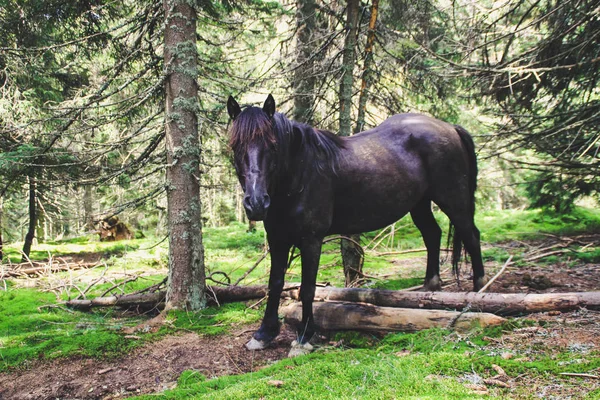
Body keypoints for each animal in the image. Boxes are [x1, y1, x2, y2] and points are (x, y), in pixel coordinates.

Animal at [227, 94, 486, 354]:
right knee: (433, 234)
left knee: (471, 235)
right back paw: (429, 288)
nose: (256, 203)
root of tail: (450, 128)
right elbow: (274, 284)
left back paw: (480, 289)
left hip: (454, 200)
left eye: (273, 146)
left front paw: (304, 337)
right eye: (235, 146)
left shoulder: (311, 240)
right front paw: (264, 334)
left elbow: (308, 288)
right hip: (420, 203)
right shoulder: (277, 239)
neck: (300, 173)